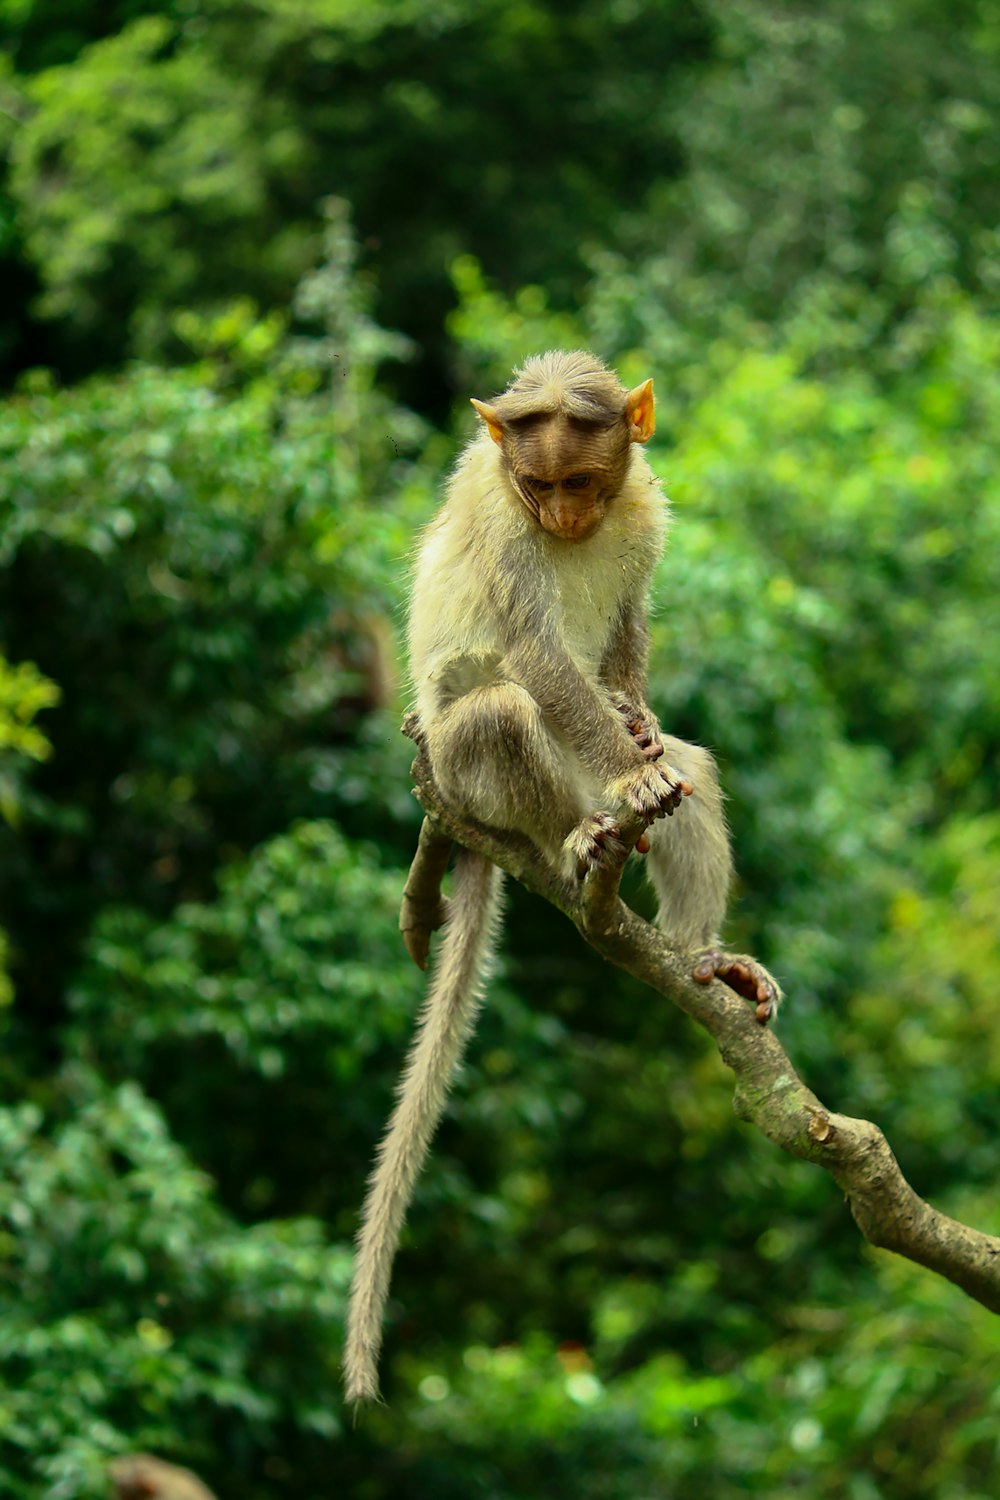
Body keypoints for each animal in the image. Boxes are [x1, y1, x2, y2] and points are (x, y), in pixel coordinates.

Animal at [344, 348, 779, 1404]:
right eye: (537, 488)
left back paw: (703, 956)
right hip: (465, 772)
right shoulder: (502, 524)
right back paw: (577, 836)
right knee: (500, 709)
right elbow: (537, 652)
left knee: (696, 772)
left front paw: (639, 724)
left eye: (581, 482)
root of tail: (459, 815)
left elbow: (624, 633)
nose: (565, 519)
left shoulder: (644, 505)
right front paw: (632, 768)